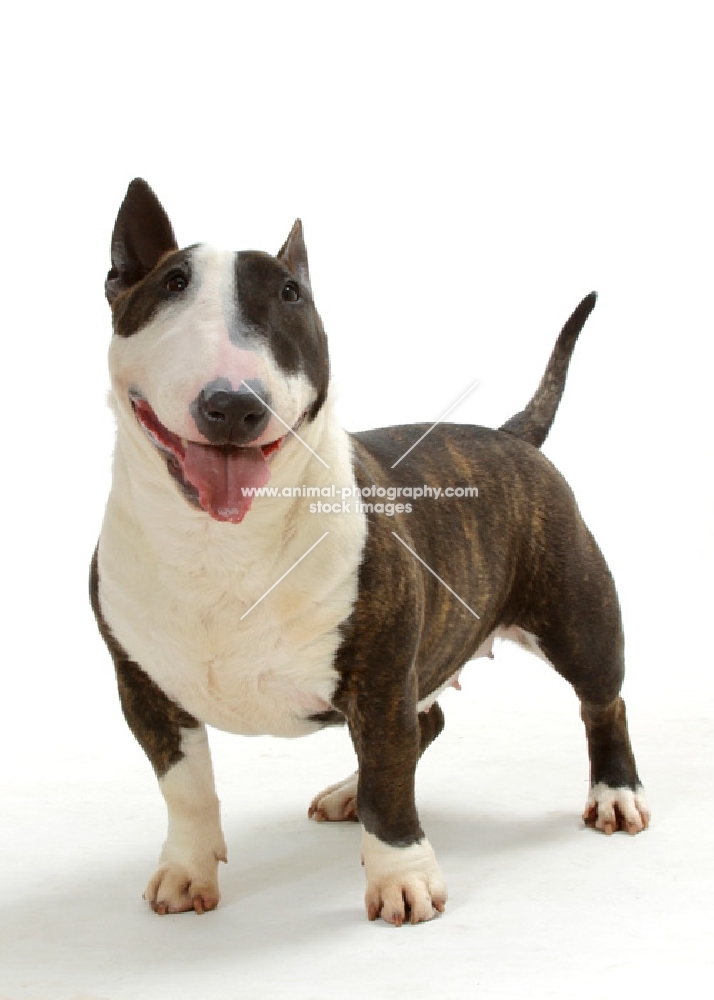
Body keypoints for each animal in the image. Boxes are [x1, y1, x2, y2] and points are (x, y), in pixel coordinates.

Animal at [89, 178, 644, 920]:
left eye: (292, 294)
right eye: (172, 282)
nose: (233, 403)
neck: (220, 543)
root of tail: (512, 435)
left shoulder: (379, 676)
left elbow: (390, 776)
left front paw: (401, 879)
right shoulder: (142, 687)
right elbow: (184, 787)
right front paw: (186, 870)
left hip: (577, 615)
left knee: (600, 701)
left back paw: (615, 793)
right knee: (427, 721)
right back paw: (345, 792)